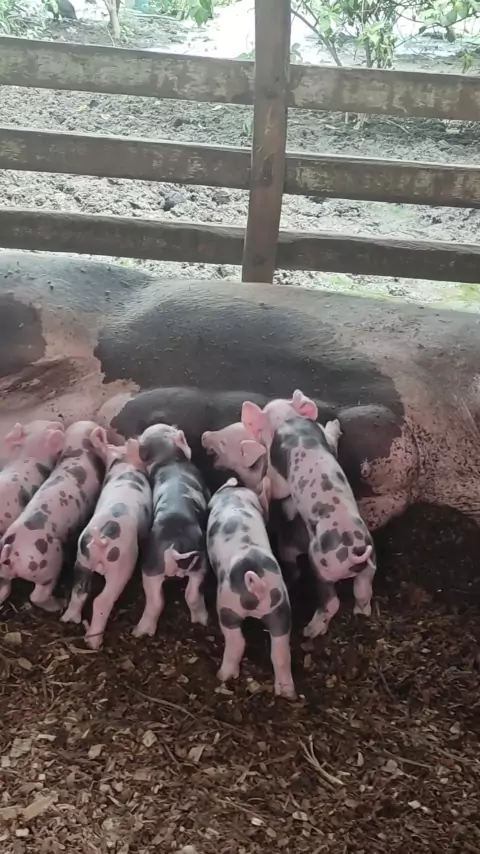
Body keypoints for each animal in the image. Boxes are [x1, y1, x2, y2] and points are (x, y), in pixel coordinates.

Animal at [0, 421, 105, 611]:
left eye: (37, 422)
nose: (57, 422)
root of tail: (10, 552)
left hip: (3, 572)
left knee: (3, 588)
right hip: (49, 564)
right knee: (37, 595)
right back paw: (60, 604)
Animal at [61, 428, 152, 649]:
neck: (124, 464)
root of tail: (101, 540)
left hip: (82, 560)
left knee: (80, 590)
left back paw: (69, 619)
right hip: (122, 565)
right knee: (102, 600)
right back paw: (94, 643)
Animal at [133, 423, 210, 638]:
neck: (168, 459)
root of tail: (175, 546)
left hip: (154, 566)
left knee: (160, 600)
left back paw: (140, 632)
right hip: (196, 562)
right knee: (187, 595)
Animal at [207, 477, 296, 700]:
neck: (234, 497)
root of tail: (258, 586)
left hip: (227, 606)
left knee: (237, 641)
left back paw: (223, 675)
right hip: (280, 608)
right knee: (280, 650)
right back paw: (287, 692)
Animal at [240, 390, 377, 638]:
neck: (288, 422)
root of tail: (353, 552)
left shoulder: (278, 472)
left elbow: (277, 484)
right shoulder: (325, 440)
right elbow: (331, 441)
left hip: (321, 565)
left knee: (331, 602)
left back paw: (309, 630)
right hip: (370, 560)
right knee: (363, 589)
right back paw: (361, 612)